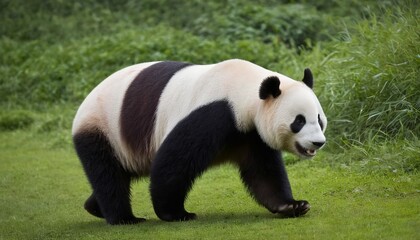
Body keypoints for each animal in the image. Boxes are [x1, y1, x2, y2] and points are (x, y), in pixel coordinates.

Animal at [72, 59, 328, 224]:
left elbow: (264, 173)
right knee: (108, 175)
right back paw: (124, 218)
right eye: (299, 121)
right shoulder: (212, 113)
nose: (318, 143)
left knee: (120, 173)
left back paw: (93, 207)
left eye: (319, 119)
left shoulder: (251, 133)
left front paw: (293, 205)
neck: (245, 91)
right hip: (102, 127)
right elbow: (174, 163)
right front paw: (175, 213)